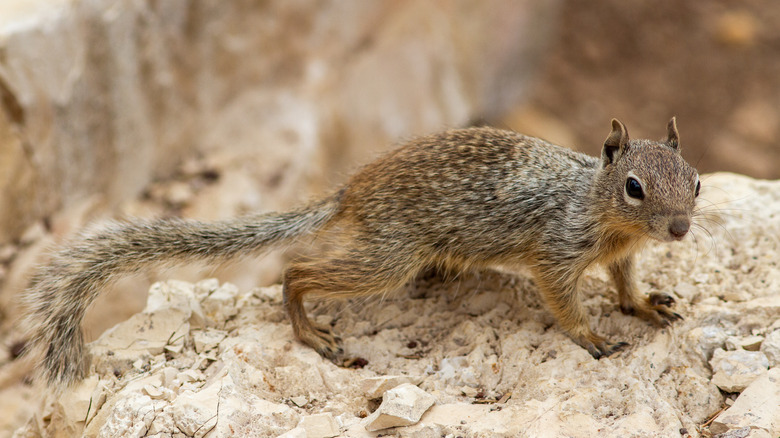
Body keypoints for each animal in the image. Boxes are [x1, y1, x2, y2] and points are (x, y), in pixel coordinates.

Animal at [19, 116, 700, 386]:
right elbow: (564, 302)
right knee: (297, 271)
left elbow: (625, 285)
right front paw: (592, 337)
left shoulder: (620, 254)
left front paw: (645, 306)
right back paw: (312, 333)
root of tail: (350, 191)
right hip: (387, 259)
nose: (679, 230)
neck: (596, 203)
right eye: (634, 187)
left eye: (695, 180)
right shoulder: (557, 254)